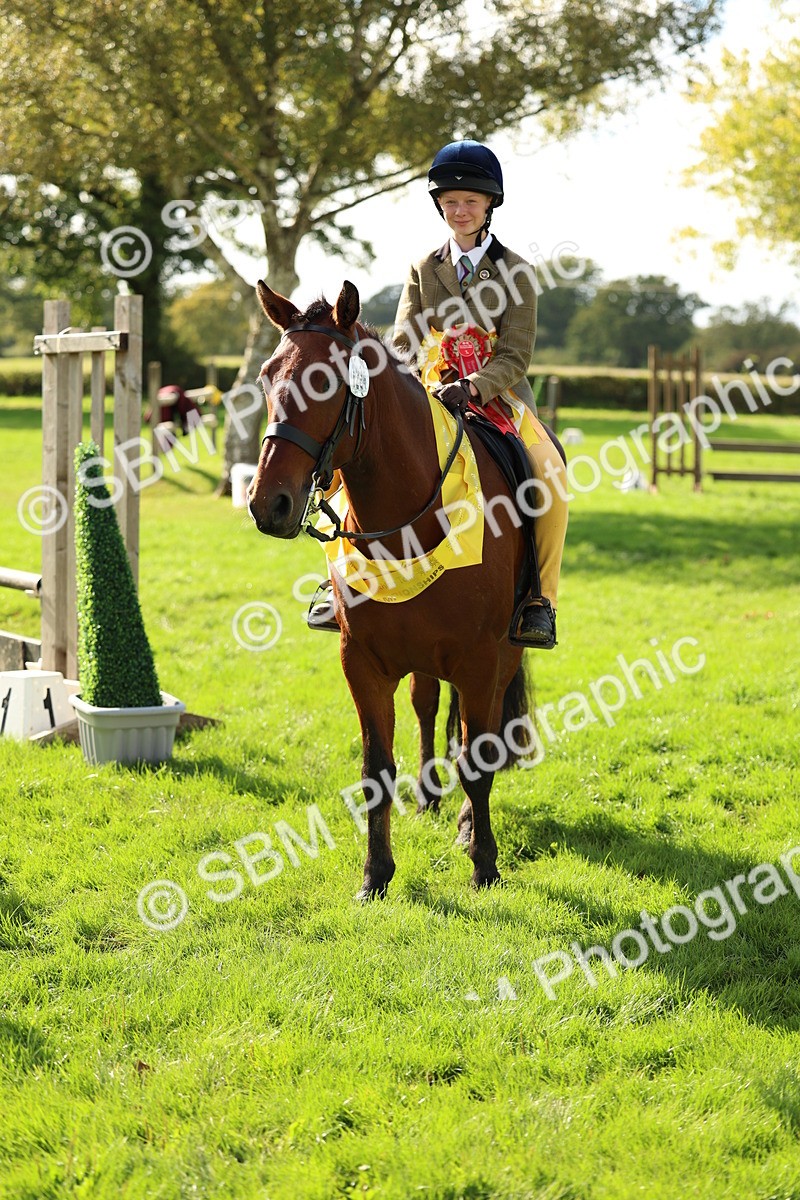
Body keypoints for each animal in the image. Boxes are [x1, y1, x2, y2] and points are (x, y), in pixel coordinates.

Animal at [248, 278, 535, 899]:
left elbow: (478, 761)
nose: (267, 504)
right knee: (428, 705)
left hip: (504, 654)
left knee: (483, 737)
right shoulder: (362, 662)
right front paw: (375, 875)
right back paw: (429, 797)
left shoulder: (480, 660)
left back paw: (465, 824)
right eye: (265, 375)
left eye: (325, 382)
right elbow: (375, 769)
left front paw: (483, 863)